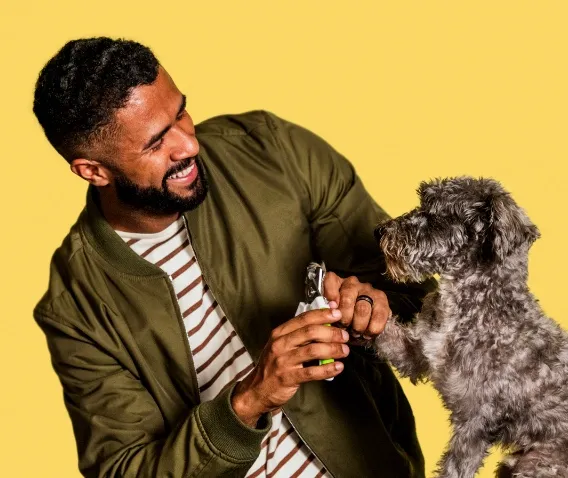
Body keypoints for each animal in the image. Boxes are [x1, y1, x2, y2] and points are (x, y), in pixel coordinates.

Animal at [372, 176, 568, 478]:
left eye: (437, 214)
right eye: (422, 200)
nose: (379, 231)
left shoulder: (475, 424)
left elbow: (455, 469)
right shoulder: (416, 354)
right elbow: (385, 332)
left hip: (536, 464)